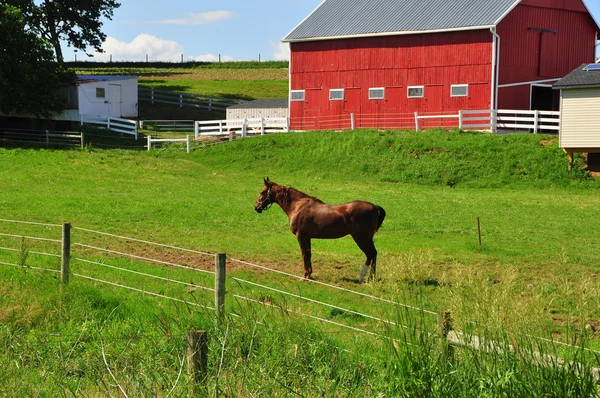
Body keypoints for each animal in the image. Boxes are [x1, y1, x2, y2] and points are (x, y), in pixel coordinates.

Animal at [252, 177, 384, 282]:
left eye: (262, 192)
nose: (256, 207)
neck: (298, 206)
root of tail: (374, 207)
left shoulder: (301, 236)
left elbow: (304, 254)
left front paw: (305, 276)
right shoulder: (308, 237)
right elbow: (309, 254)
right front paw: (309, 275)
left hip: (361, 238)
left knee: (371, 254)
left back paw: (365, 277)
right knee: (372, 255)